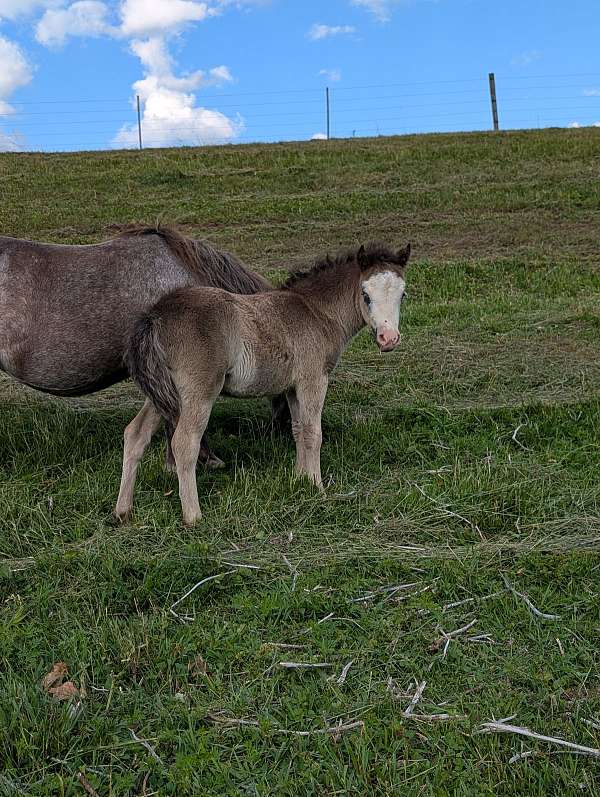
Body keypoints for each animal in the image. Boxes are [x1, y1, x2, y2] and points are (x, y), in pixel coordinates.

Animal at [116, 241, 411, 525]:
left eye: (403, 294)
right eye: (365, 294)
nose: (388, 338)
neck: (316, 312)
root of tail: (156, 315)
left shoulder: (292, 387)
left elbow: (298, 430)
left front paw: (300, 480)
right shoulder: (313, 379)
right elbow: (313, 433)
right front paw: (318, 488)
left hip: (162, 393)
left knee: (135, 434)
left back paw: (123, 511)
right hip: (198, 393)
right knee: (184, 443)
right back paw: (193, 516)